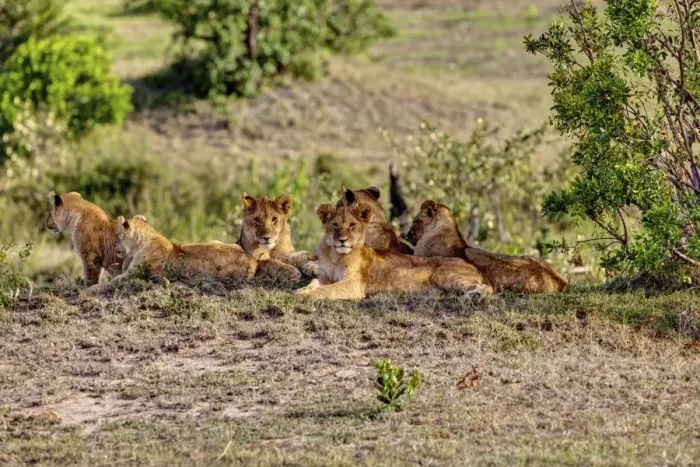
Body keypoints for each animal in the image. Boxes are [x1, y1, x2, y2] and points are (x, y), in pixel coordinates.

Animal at [86, 216, 257, 293]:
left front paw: (88, 290)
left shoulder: (132, 275)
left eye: (116, 236)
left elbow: (110, 282)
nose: (112, 246)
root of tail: (253, 260)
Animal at [294, 203, 492, 301]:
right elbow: (314, 283)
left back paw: (473, 296)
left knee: (489, 288)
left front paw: (305, 296)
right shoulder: (325, 277)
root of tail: (472, 265)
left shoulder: (353, 284)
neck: (335, 255)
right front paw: (301, 290)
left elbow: (326, 290)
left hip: (445, 275)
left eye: (352, 225)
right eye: (335, 225)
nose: (342, 240)